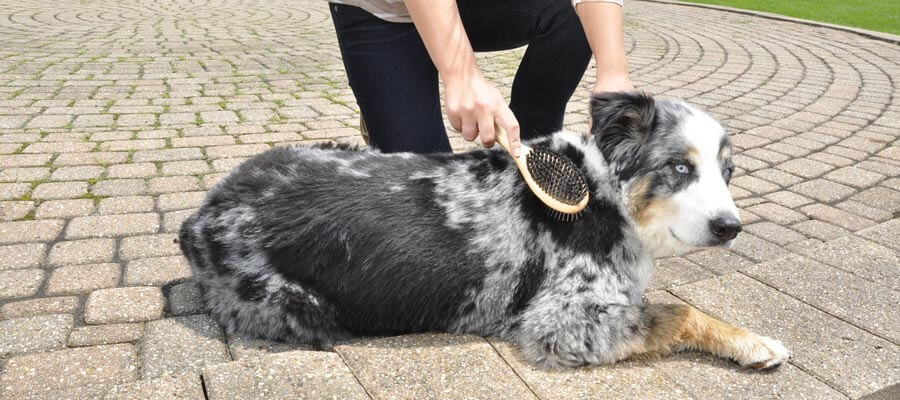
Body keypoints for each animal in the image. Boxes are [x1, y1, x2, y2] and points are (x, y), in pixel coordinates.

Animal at [181, 90, 788, 368]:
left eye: (729, 172)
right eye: (680, 168)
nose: (731, 227)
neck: (601, 195)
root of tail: (201, 215)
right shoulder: (564, 321)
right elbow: (681, 312)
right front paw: (754, 342)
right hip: (302, 308)